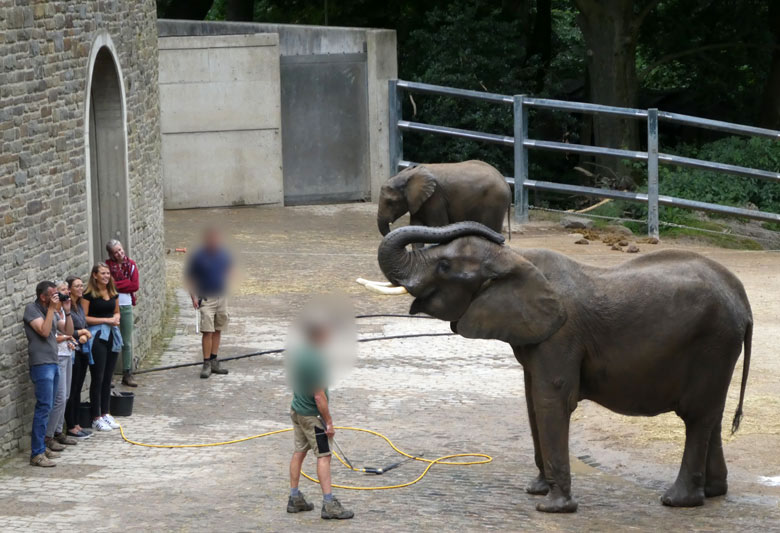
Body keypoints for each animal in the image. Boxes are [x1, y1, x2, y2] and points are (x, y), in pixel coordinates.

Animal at [378, 160, 512, 237]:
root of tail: (506, 183)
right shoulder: (418, 201)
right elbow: (415, 226)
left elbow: (437, 226)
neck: (407, 174)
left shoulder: (435, 198)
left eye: (391, 202)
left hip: (495, 202)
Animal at [378, 220, 756, 512]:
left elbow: (551, 401)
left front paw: (552, 507)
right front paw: (537, 490)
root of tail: (742, 299)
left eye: (444, 267)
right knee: (711, 414)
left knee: (697, 416)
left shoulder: (561, 336)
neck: (517, 258)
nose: (499, 234)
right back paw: (713, 492)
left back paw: (677, 501)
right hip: (718, 348)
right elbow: (531, 402)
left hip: (712, 342)